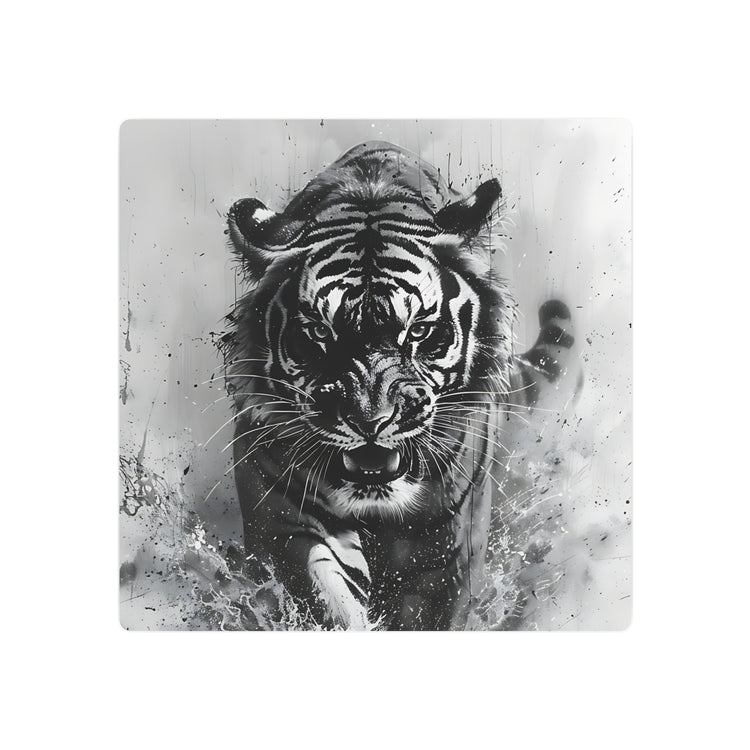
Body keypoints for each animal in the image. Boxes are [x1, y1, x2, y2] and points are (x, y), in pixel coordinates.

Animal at [222, 141, 576, 630]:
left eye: (419, 331)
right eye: (320, 333)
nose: (371, 423)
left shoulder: (446, 552)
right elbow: (327, 598)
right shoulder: (283, 522)